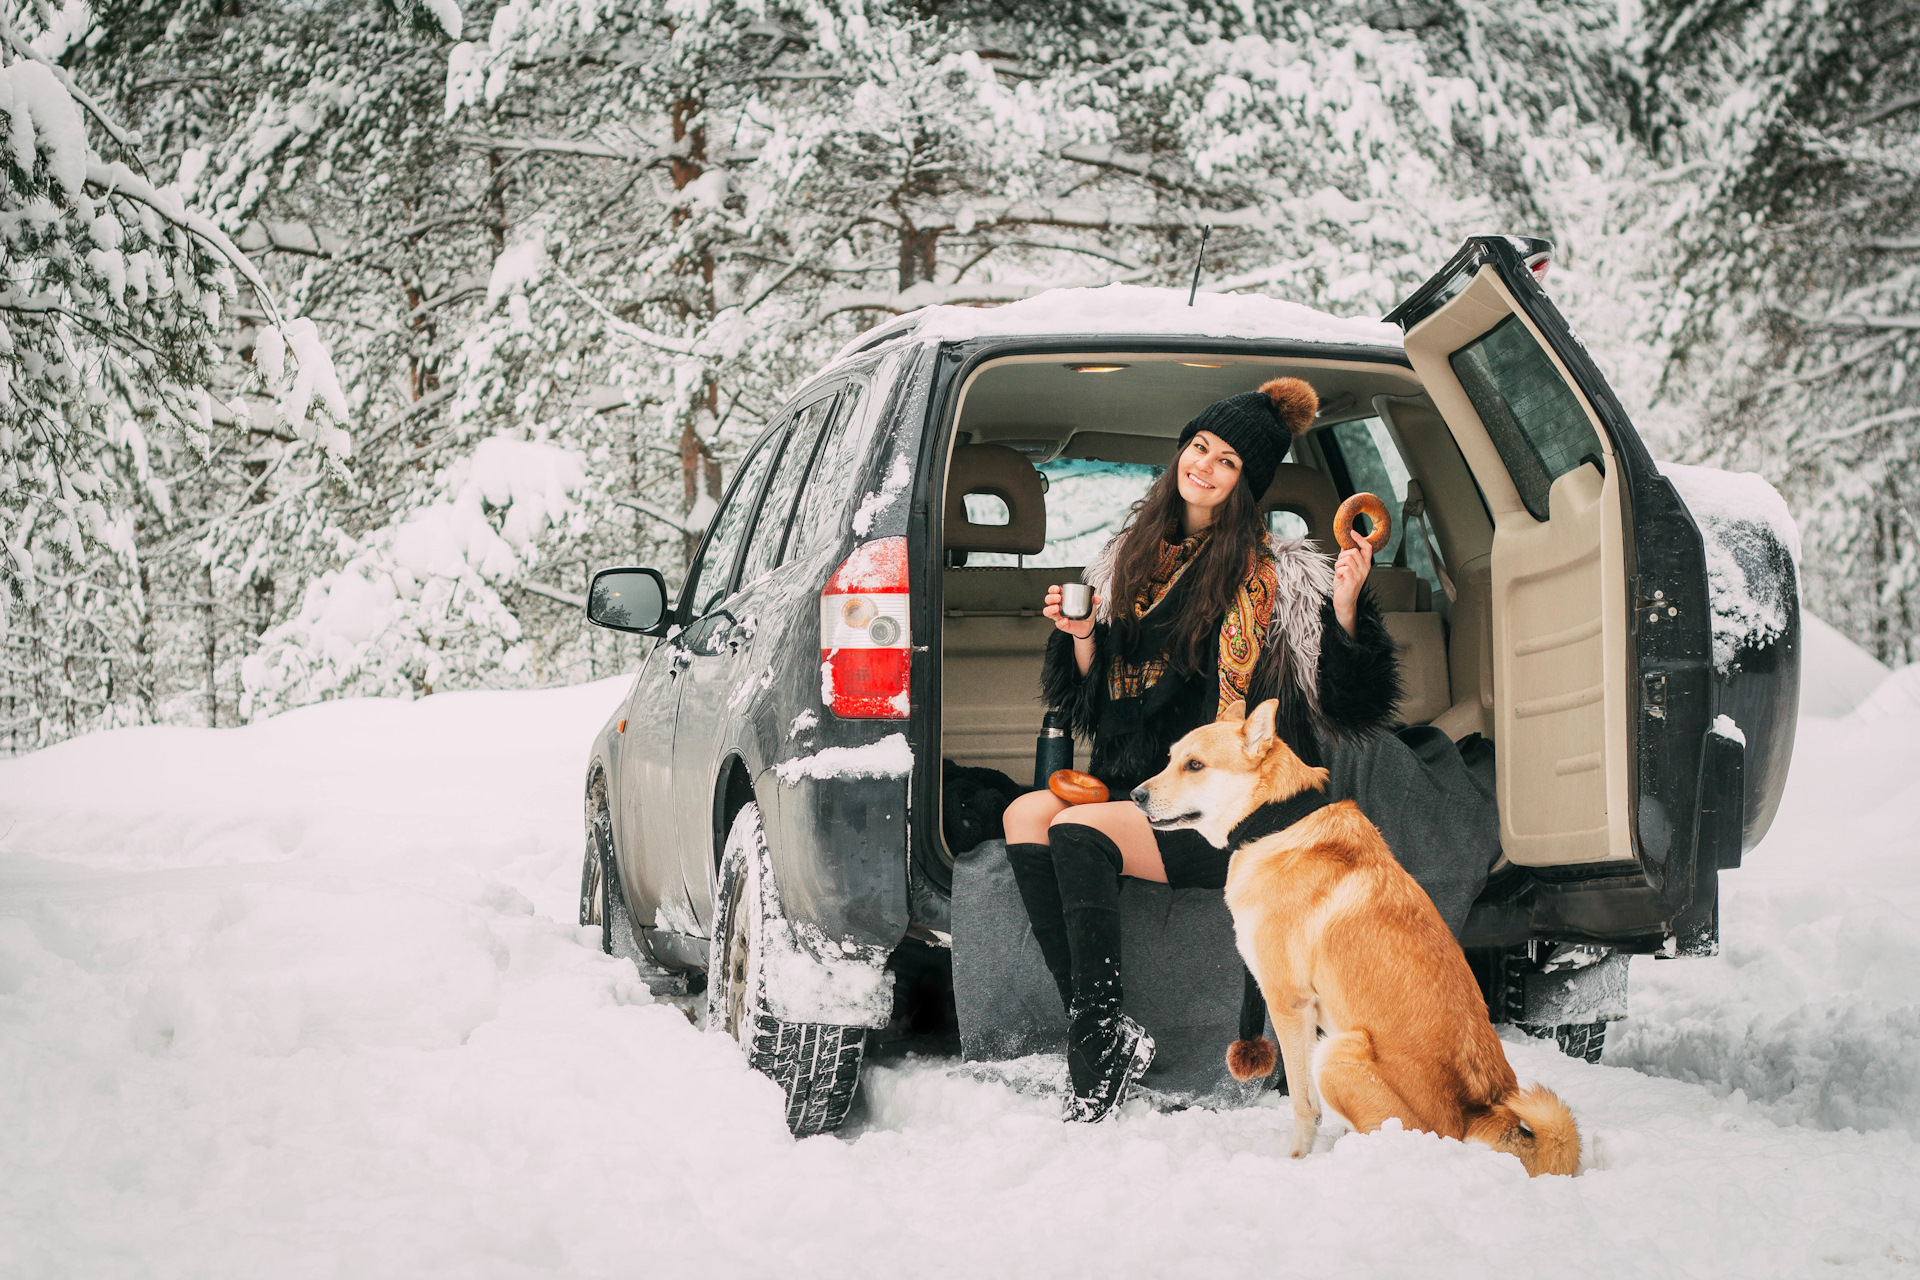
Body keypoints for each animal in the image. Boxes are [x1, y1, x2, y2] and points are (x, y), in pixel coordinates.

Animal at [1128, 702, 1582, 1182]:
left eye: (1195, 765)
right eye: (1170, 759)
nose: (1134, 795)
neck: (1274, 821)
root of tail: (1481, 1114)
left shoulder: (1287, 1003)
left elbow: (1303, 1104)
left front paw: (1295, 1162)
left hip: (1336, 1052)